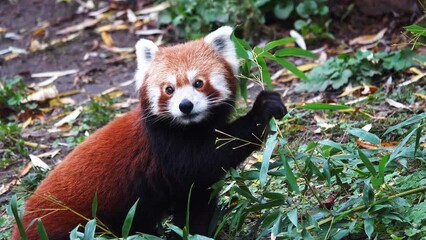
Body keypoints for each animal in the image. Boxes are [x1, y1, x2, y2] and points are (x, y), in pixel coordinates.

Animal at [11, 26, 286, 238]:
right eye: (169, 89)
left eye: (198, 82)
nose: (185, 106)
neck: (190, 127)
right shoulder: (165, 146)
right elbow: (205, 159)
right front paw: (261, 110)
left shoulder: (192, 186)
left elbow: (195, 206)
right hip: (74, 226)